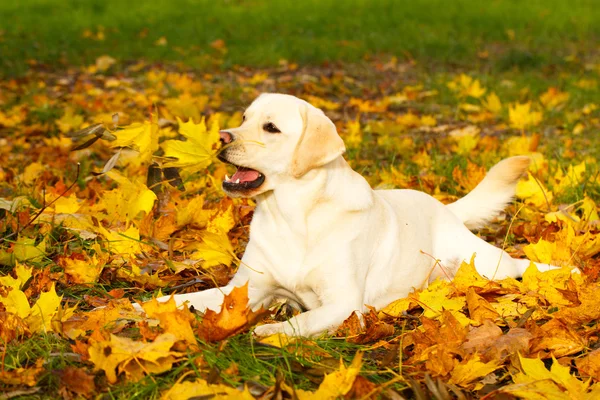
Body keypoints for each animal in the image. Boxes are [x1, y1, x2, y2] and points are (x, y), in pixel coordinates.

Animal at [154, 94, 552, 338]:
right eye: (243, 118)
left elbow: (303, 319)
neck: (293, 215)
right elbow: (186, 300)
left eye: (270, 128)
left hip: (485, 265)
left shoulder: (343, 303)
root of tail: (444, 206)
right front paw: (147, 308)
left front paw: (272, 331)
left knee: (519, 264)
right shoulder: (242, 290)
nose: (222, 137)